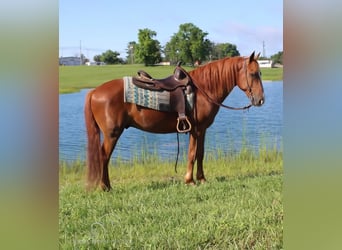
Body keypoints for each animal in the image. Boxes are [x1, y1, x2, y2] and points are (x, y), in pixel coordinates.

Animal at [83, 51, 264, 190]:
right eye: (253, 74)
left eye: (260, 73)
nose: (261, 100)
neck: (203, 90)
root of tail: (94, 92)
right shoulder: (196, 129)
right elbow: (192, 154)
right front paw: (190, 181)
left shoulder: (201, 130)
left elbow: (200, 153)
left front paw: (202, 179)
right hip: (112, 134)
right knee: (104, 156)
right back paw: (105, 187)